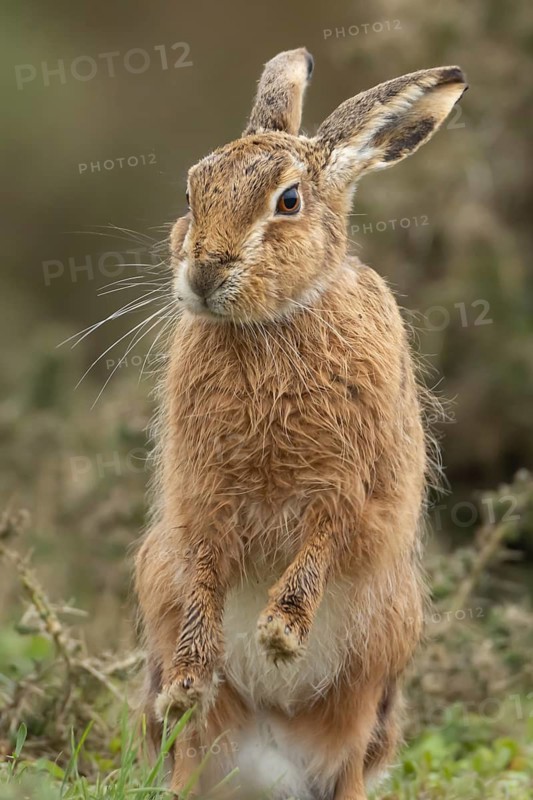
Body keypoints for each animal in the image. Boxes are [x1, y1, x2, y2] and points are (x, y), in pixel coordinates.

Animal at [134, 47, 467, 800]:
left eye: (288, 202)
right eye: (191, 195)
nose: (204, 273)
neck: (269, 325)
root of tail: (269, 763)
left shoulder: (352, 489)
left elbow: (319, 547)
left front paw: (280, 636)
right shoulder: (202, 498)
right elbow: (204, 573)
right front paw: (188, 678)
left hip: (373, 673)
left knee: (348, 761)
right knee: (190, 747)